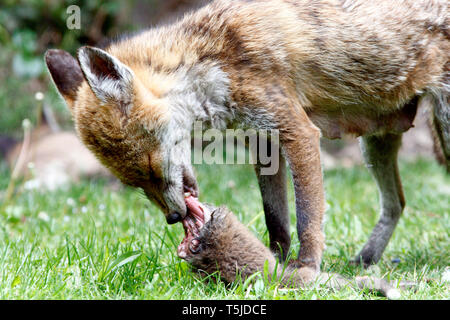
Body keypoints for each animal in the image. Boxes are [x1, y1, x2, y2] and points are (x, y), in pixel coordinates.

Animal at [44, 0, 448, 280]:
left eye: (150, 167)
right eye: (135, 184)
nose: (175, 217)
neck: (212, 59)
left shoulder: (297, 132)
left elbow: (307, 219)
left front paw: (307, 268)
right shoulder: (263, 141)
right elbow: (276, 220)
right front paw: (275, 264)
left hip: (440, 128)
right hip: (376, 142)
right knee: (397, 203)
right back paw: (367, 259)